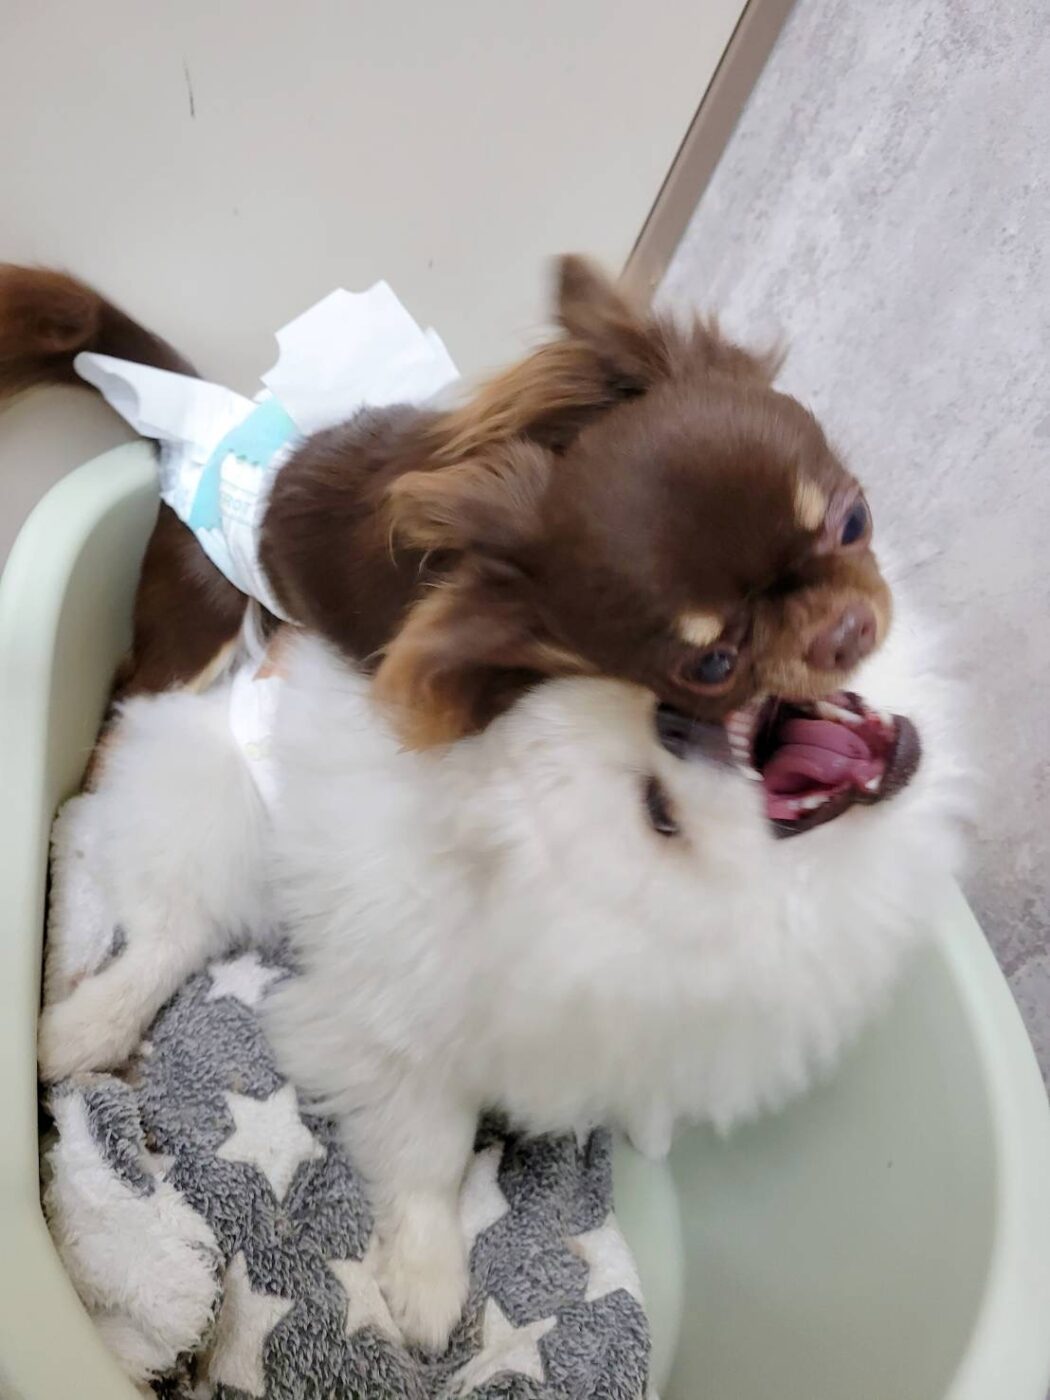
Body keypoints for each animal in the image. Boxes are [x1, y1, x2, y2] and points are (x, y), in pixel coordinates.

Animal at [9, 260, 967, 1351]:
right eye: (708, 666)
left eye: (853, 519)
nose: (847, 629)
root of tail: (208, 410)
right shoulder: (411, 1014)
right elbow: (429, 1148)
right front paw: (426, 1279)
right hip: (199, 693)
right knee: (143, 858)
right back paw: (80, 1018)